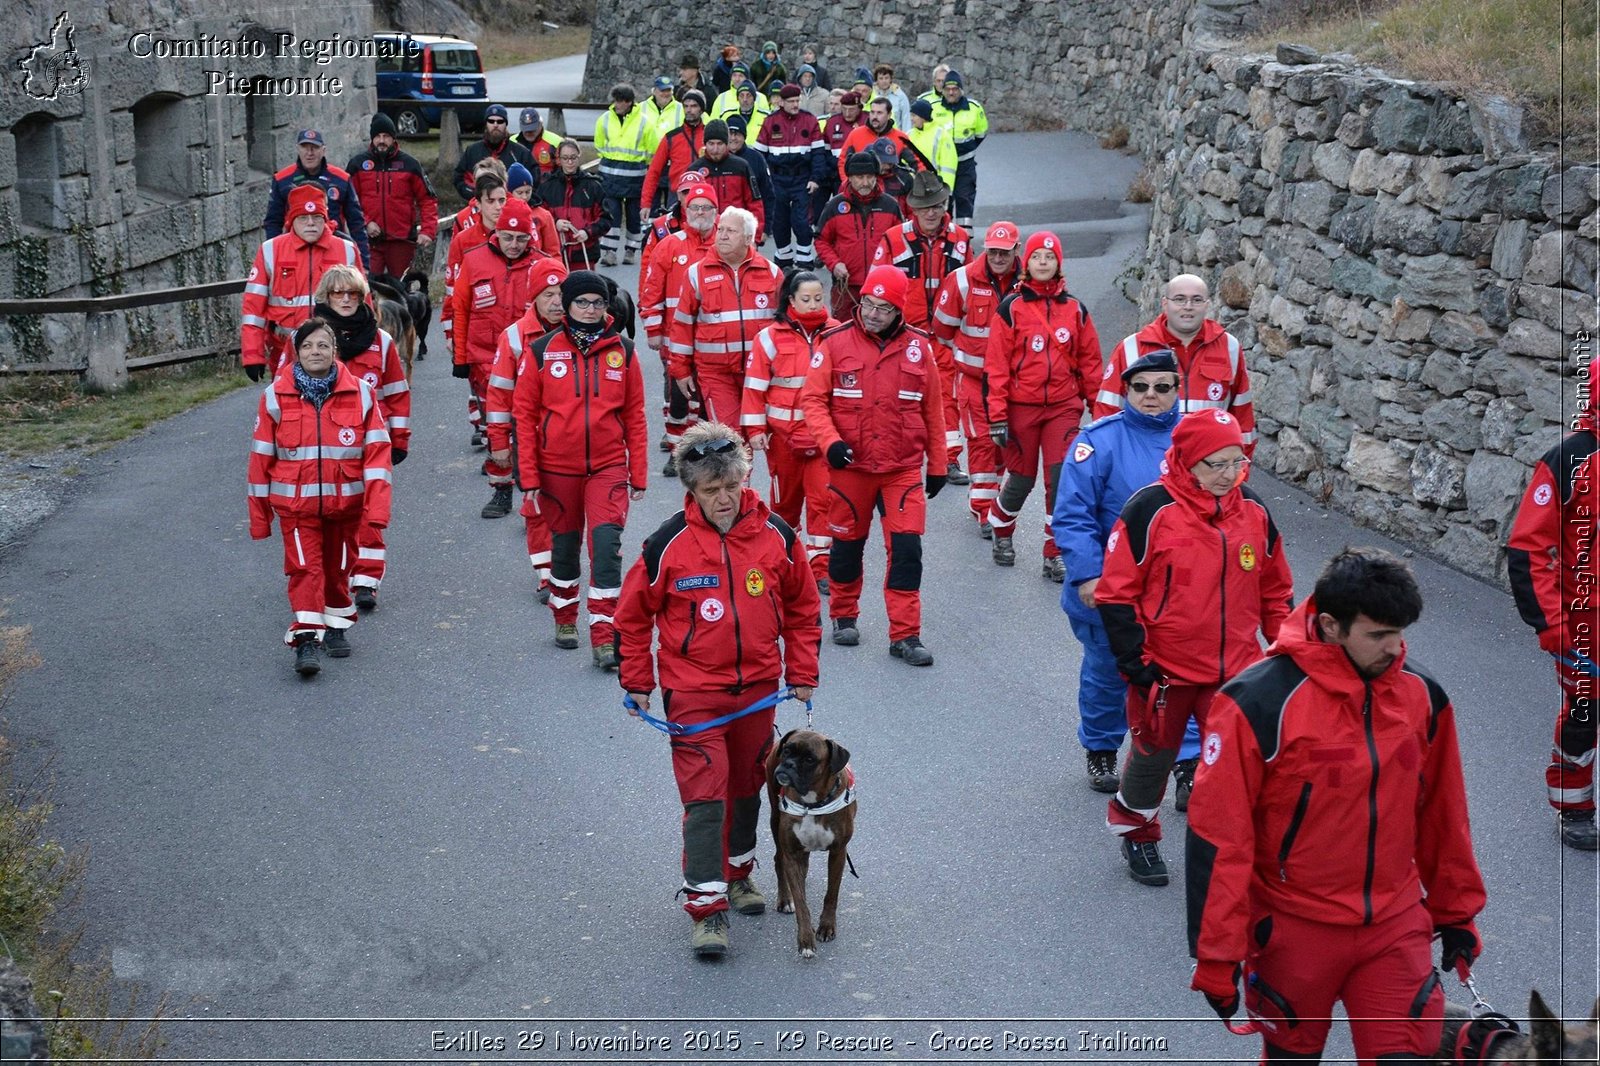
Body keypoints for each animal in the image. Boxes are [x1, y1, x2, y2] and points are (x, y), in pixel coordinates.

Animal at [764, 726, 857, 960]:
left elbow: (832, 893)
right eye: (787, 751)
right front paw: (806, 940)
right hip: (775, 819)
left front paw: (826, 927)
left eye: (809, 759)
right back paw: (784, 899)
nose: (788, 764)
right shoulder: (792, 854)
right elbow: (801, 902)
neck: (812, 803)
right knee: (779, 861)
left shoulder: (838, 853)